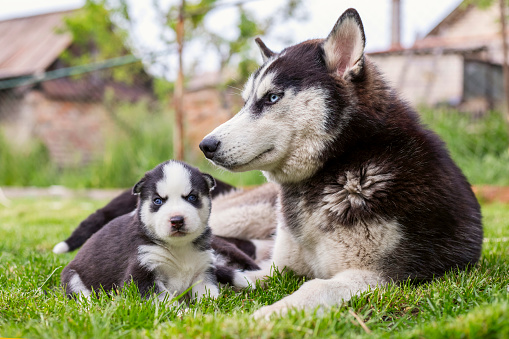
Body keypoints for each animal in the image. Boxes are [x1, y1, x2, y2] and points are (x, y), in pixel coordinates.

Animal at [197, 9, 480, 320]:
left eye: (272, 97)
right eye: (246, 102)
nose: (206, 145)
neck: (342, 162)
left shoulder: (375, 277)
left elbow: (314, 287)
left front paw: (263, 316)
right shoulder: (278, 268)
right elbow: (248, 275)